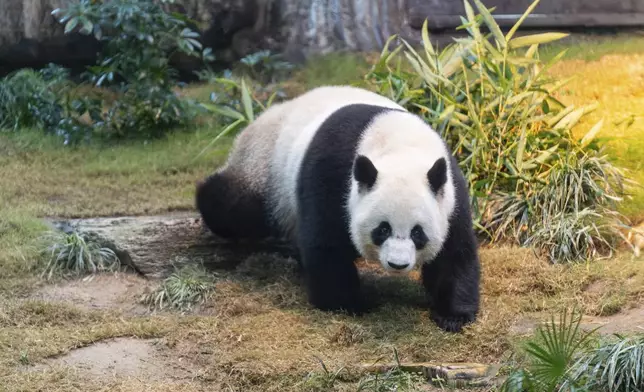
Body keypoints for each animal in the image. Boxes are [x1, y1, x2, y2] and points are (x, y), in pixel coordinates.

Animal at [199, 85, 480, 330]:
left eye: (417, 233)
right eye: (382, 229)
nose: (397, 264)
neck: (400, 146)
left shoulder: (450, 195)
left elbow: (455, 253)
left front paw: (453, 315)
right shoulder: (332, 176)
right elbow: (326, 244)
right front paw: (350, 304)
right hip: (265, 169)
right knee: (234, 207)